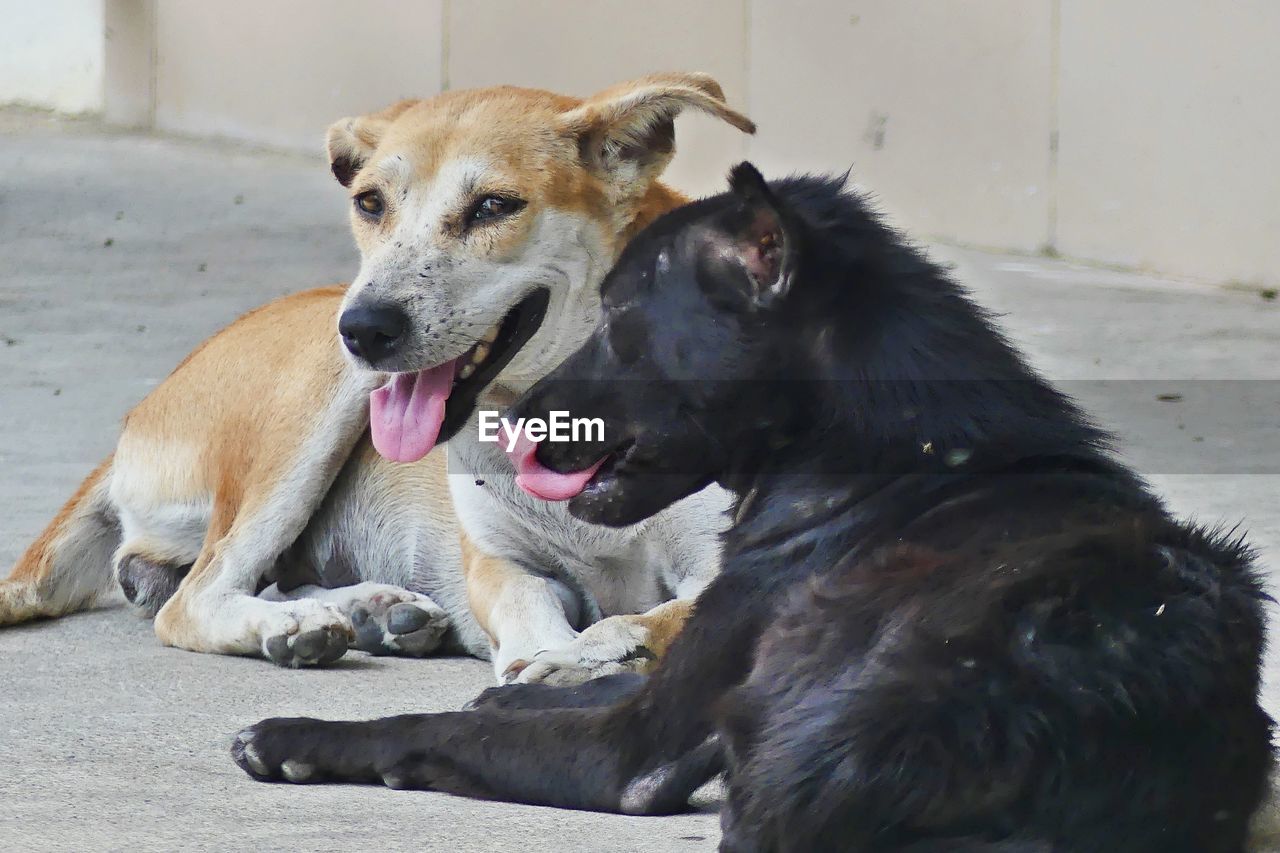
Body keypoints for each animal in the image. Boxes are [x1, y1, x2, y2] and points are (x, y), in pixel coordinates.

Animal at [232, 162, 1269, 845]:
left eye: (619, 316)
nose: (513, 421)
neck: (900, 459)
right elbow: (567, 680)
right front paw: (529, 679)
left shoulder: (636, 751)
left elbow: (441, 725)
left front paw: (301, 737)